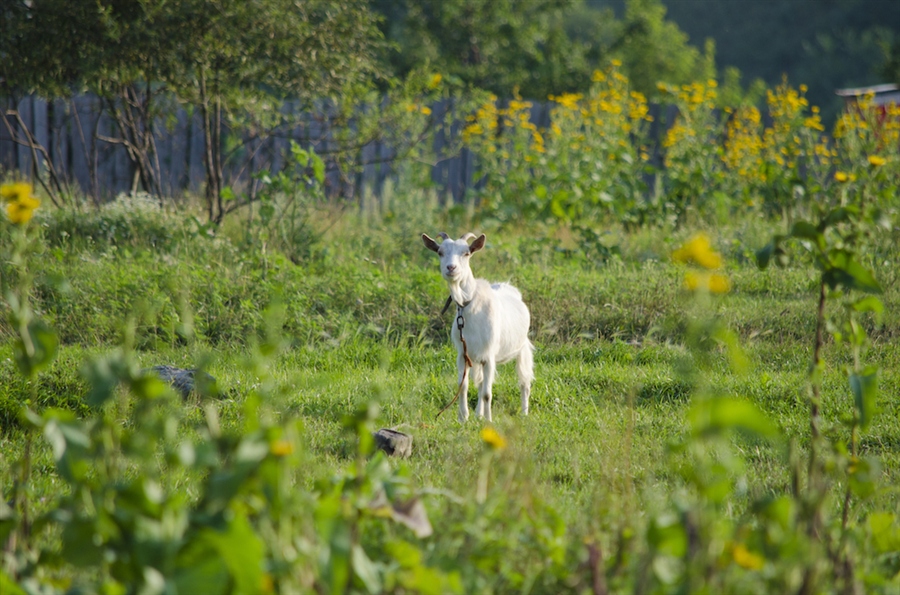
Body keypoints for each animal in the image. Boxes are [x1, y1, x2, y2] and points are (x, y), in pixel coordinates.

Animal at [424, 233, 536, 424]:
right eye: (440, 252)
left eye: (466, 253)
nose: (451, 268)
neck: (469, 306)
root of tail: (507, 286)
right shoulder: (463, 355)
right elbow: (464, 386)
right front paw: (463, 418)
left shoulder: (489, 356)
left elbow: (487, 394)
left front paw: (489, 421)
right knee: (481, 382)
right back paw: (478, 414)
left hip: (522, 348)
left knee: (524, 381)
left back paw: (524, 412)